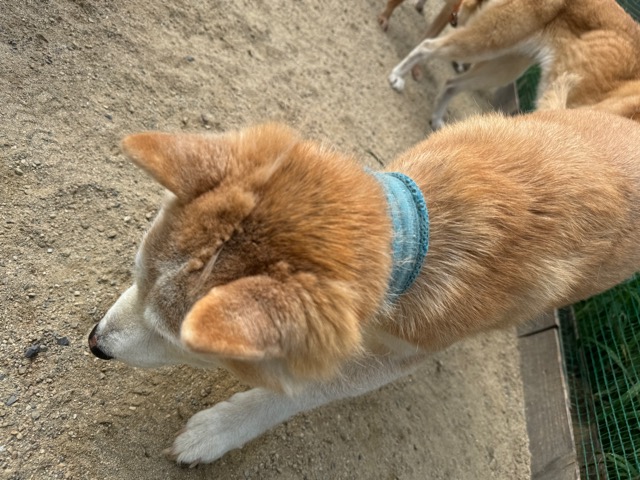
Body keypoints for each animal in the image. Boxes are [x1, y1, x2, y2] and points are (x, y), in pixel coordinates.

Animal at [88, 109, 640, 465]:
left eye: (177, 339)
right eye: (137, 273)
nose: (96, 344)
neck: (416, 233)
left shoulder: (403, 353)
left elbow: (303, 390)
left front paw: (218, 431)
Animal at [388, 0, 640, 129]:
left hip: (505, 68)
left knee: (452, 83)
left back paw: (438, 119)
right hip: (489, 39)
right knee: (427, 46)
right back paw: (397, 76)